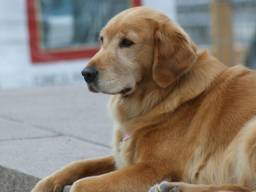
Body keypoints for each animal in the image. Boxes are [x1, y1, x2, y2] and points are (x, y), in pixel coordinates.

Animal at [31, 6, 256, 192]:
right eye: (102, 40)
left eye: (127, 43)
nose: (86, 73)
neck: (160, 98)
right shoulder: (124, 157)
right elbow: (79, 164)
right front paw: (46, 184)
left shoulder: (153, 168)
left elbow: (81, 184)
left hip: (249, 131)